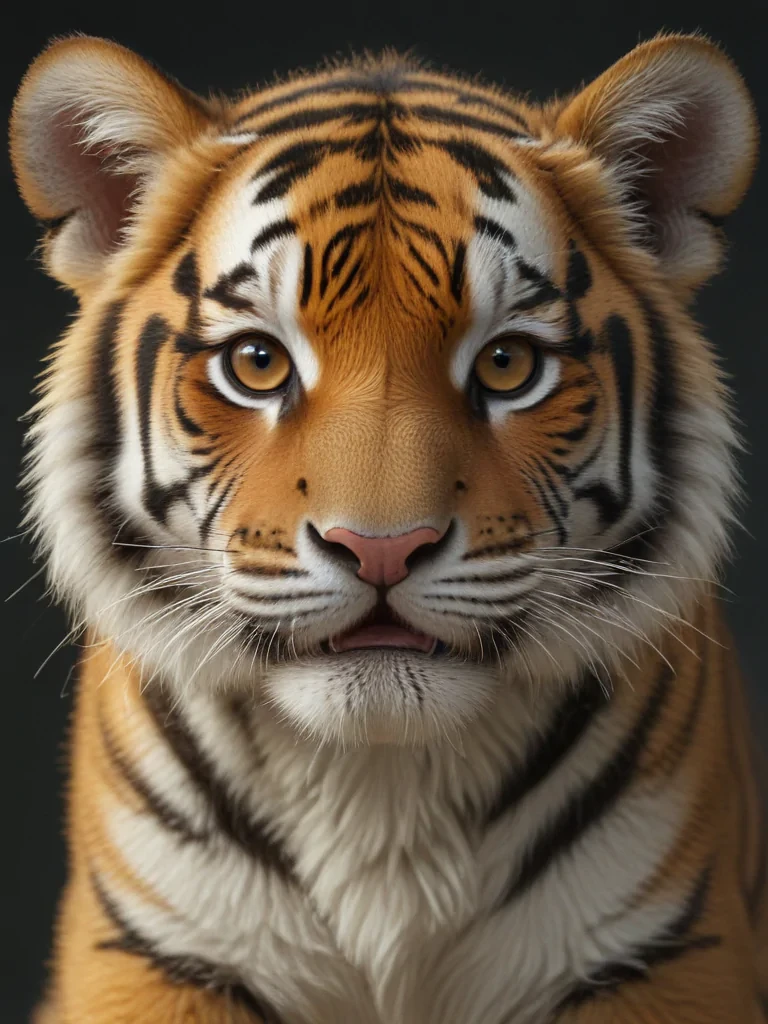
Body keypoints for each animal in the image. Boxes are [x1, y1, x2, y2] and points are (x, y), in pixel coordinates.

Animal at [9, 28, 766, 1024]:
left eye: (508, 363)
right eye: (257, 362)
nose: (381, 549)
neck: (382, 791)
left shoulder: (660, 950)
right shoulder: (156, 950)